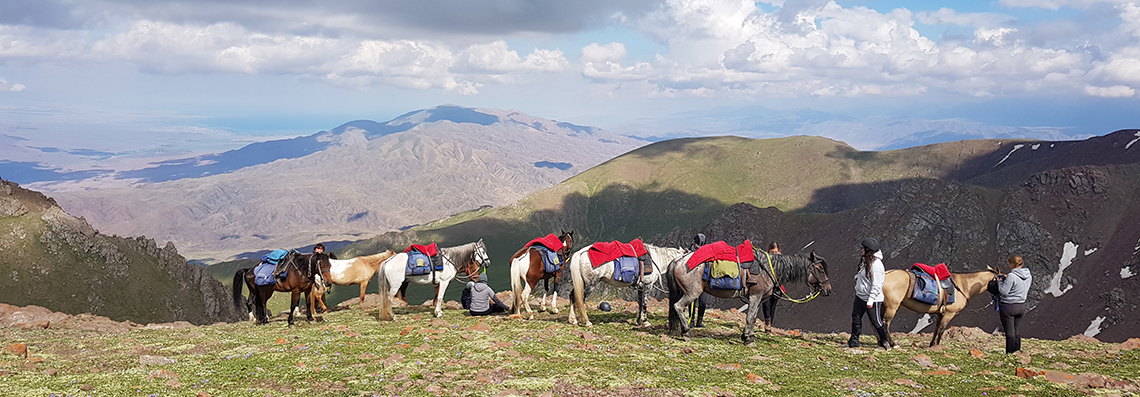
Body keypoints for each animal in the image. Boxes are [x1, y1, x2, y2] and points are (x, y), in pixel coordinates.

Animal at [665, 250, 834, 344]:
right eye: (820, 269)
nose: (828, 290)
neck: (768, 269)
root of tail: (678, 261)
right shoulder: (755, 296)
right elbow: (751, 317)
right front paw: (748, 339)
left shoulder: (758, 298)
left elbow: (751, 318)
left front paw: (747, 336)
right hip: (692, 292)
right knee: (678, 306)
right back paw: (686, 332)